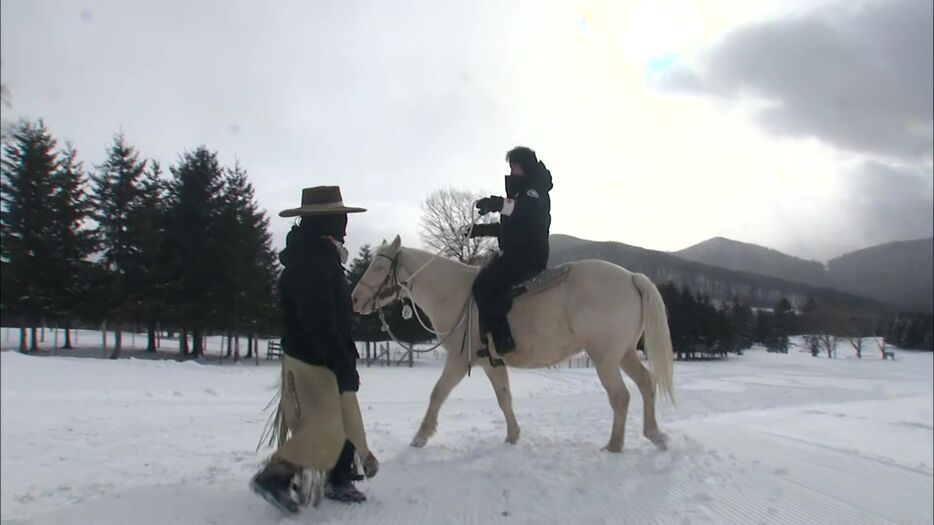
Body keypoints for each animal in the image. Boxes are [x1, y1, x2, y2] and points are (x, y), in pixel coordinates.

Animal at [352, 235, 672, 452]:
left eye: (379, 266)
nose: (355, 299)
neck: (455, 294)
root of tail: (631, 277)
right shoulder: (491, 363)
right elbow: (504, 398)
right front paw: (513, 435)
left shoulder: (459, 361)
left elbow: (437, 394)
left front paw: (420, 436)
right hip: (624, 354)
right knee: (646, 383)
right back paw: (655, 434)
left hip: (605, 358)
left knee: (621, 397)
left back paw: (615, 445)